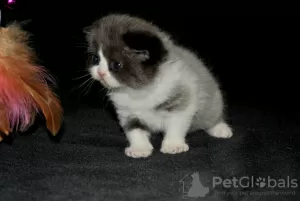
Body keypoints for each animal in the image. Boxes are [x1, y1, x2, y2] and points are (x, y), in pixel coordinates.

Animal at [83, 13, 233, 159]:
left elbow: (176, 126)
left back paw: (220, 128)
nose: (100, 73)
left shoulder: (182, 100)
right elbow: (134, 131)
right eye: (96, 59)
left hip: (212, 97)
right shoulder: (128, 113)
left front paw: (173, 145)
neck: (139, 90)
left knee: (212, 114)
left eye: (116, 65)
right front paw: (140, 149)